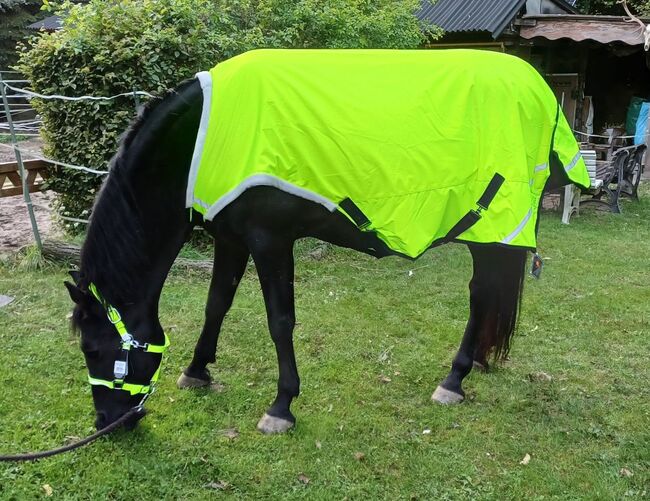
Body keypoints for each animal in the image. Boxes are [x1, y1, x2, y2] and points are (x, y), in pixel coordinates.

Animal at [64, 49, 585, 434]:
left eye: (94, 351)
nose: (108, 424)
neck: (206, 138)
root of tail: (537, 86)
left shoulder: (270, 241)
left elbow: (280, 321)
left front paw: (281, 406)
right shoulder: (231, 239)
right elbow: (217, 305)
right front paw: (197, 371)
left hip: (490, 226)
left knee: (480, 295)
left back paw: (454, 379)